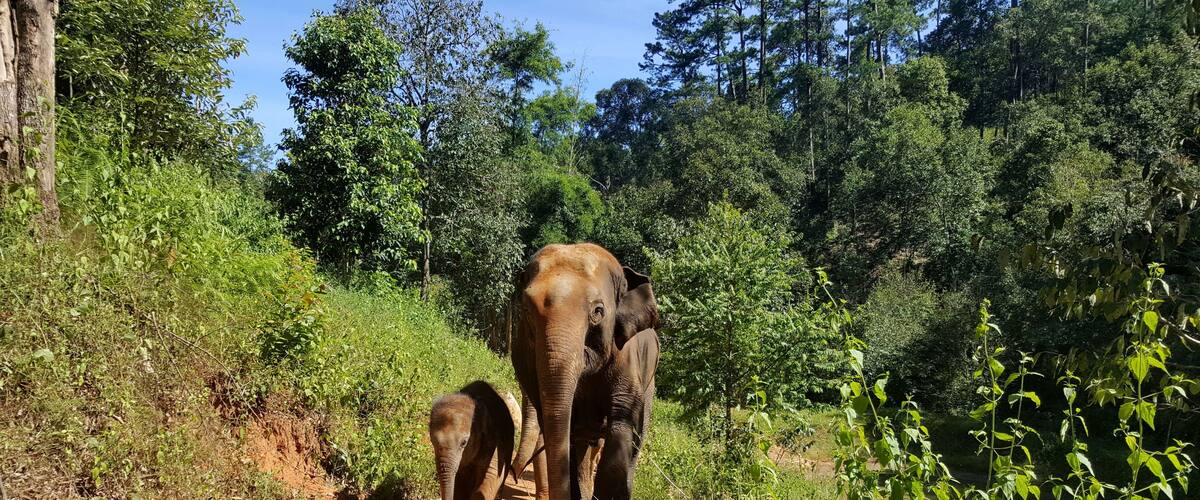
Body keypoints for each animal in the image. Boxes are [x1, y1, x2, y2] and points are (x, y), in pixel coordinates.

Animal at [511, 243, 660, 500]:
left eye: (598, 311)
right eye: (527, 310)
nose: (514, 475)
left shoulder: (626, 359)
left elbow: (620, 428)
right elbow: (567, 433)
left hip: (649, 384)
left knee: (635, 443)